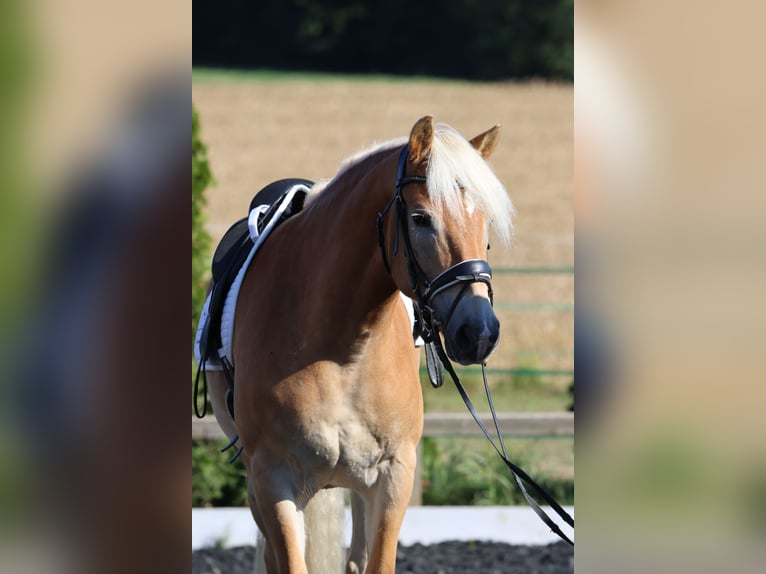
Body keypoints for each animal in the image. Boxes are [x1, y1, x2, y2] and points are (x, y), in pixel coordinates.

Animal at [205, 116, 514, 573]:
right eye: (420, 218)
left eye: (486, 223)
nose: (479, 333)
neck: (341, 351)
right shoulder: (273, 480)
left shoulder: (393, 476)